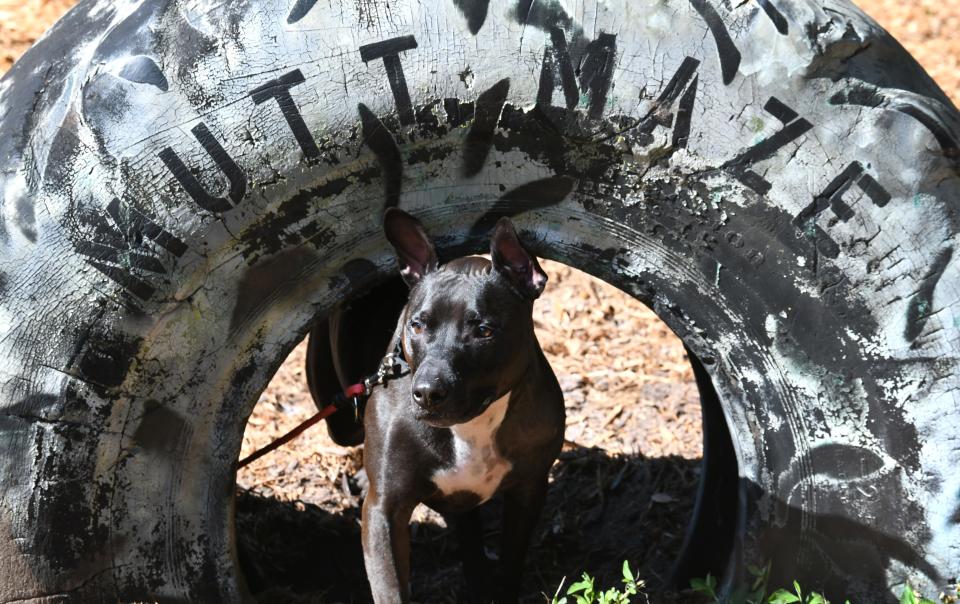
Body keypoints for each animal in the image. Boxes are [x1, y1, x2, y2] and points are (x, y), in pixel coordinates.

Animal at [360, 210, 564, 600]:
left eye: (483, 331)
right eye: (417, 325)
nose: (427, 391)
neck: (472, 426)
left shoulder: (529, 489)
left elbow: (510, 564)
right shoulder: (384, 511)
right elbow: (391, 589)